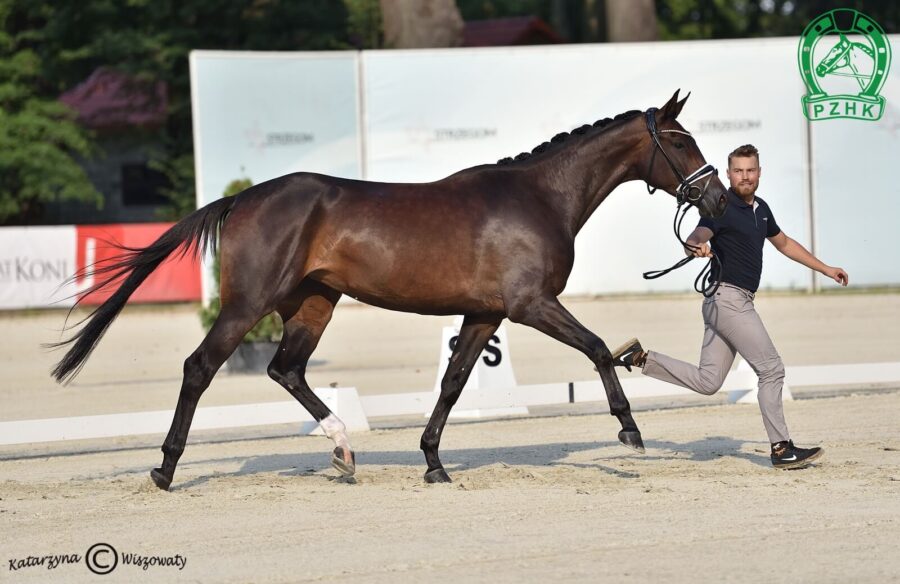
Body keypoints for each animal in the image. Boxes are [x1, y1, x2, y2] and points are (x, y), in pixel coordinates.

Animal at [47, 91, 724, 490]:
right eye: (680, 140)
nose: (717, 197)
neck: (539, 198)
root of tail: (246, 197)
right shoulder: (531, 305)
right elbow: (599, 348)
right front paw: (630, 432)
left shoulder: (485, 315)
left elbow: (453, 384)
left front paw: (433, 463)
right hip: (247, 305)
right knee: (201, 367)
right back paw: (164, 469)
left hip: (314, 304)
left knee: (286, 370)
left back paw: (344, 453)